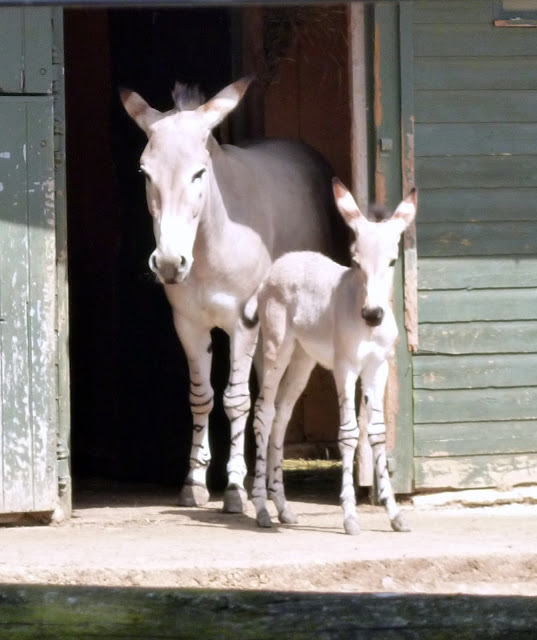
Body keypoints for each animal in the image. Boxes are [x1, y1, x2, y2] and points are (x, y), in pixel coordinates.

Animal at [120, 77, 342, 512]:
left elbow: (236, 401)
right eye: (144, 172)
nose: (169, 264)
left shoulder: (243, 323)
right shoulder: (188, 325)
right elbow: (201, 397)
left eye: (198, 173)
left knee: (267, 397)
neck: (210, 245)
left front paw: (236, 489)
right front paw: (194, 483)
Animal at [253, 180, 416, 536]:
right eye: (355, 262)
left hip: (302, 360)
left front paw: (395, 515)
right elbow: (349, 434)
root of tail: (282, 263)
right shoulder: (346, 369)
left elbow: (377, 433)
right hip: (276, 350)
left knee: (282, 415)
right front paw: (350, 516)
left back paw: (283, 507)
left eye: (393, 262)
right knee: (264, 414)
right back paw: (260, 509)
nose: (373, 314)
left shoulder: (378, 368)